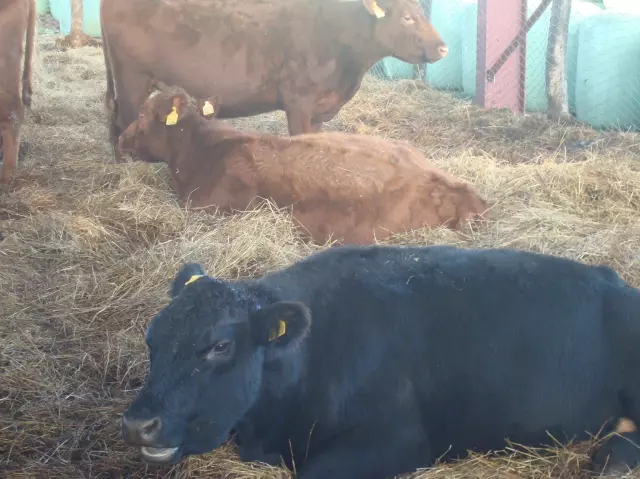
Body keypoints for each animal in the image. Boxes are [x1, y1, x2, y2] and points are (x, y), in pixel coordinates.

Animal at [100, 0, 449, 162]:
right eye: (407, 17)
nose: (443, 47)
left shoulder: (319, 107)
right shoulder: (299, 101)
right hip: (131, 78)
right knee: (123, 120)